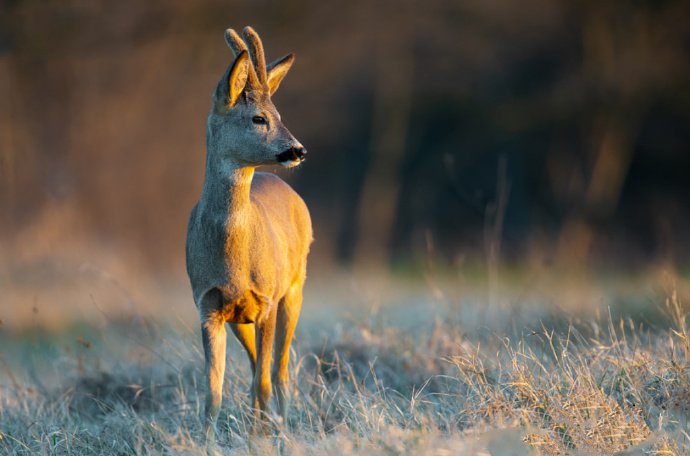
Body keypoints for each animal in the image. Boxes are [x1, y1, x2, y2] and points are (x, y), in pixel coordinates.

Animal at [184, 26, 310, 440]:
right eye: (258, 118)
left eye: (280, 115)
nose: (298, 150)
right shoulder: (208, 304)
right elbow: (213, 390)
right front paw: (206, 442)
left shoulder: (267, 298)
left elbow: (265, 381)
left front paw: (262, 440)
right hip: (241, 317)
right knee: (259, 366)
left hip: (294, 287)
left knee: (278, 371)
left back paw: (280, 426)